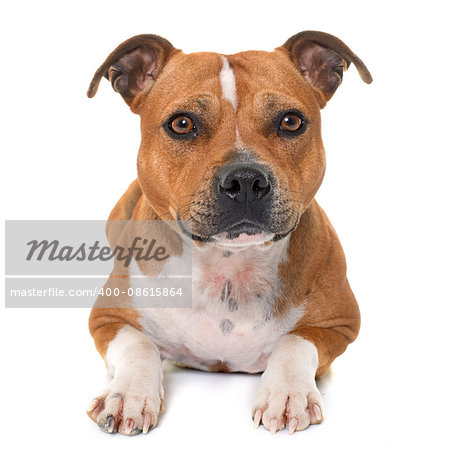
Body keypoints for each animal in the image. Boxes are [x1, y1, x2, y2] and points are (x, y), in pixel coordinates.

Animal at [86, 30, 370, 436]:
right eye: (182, 124)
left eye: (291, 121)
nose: (246, 180)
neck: (228, 267)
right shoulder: (108, 319)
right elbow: (139, 344)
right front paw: (128, 395)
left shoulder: (340, 324)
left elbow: (296, 340)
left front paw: (287, 393)